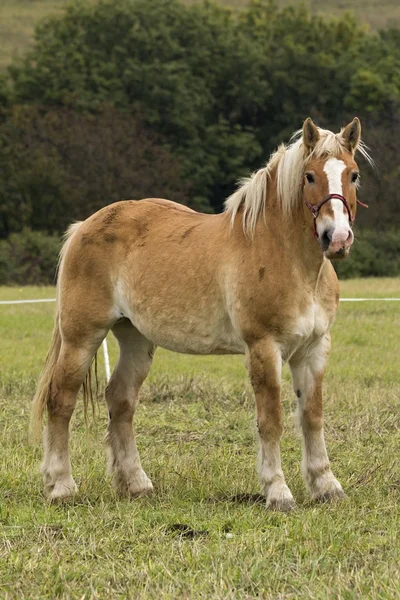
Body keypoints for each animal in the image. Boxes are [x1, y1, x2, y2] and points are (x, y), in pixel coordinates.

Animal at [31, 117, 372, 510]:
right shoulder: (264, 347)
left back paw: (136, 484)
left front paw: (326, 486)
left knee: (120, 400)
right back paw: (60, 486)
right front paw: (278, 491)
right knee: (61, 400)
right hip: (81, 336)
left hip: (136, 338)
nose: (337, 238)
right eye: (310, 176)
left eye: (353, 175)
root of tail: (83, 227)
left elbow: (312, 417)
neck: (289, 259)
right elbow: (270, 420)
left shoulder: (314, 349)